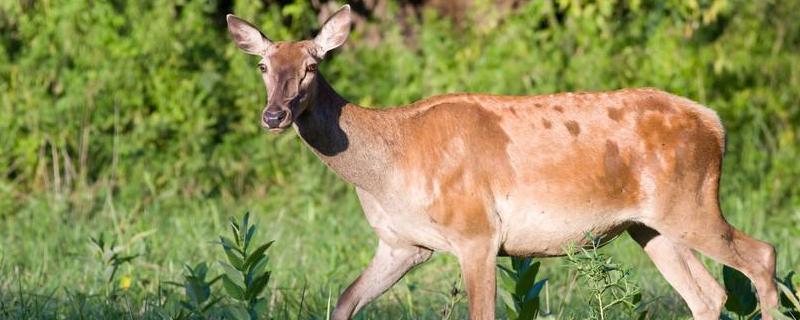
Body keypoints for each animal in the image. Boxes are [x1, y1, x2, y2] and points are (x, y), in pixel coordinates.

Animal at [228, 5, 780, 320]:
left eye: (311, 66)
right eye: (262, 65)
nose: (274, 115)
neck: (386, 169)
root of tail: (715, 122)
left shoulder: (476, 231)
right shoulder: (403, 244)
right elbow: (344, 301)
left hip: (689, 202)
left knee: (762, 255)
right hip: (651, 226)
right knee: (708, 294)